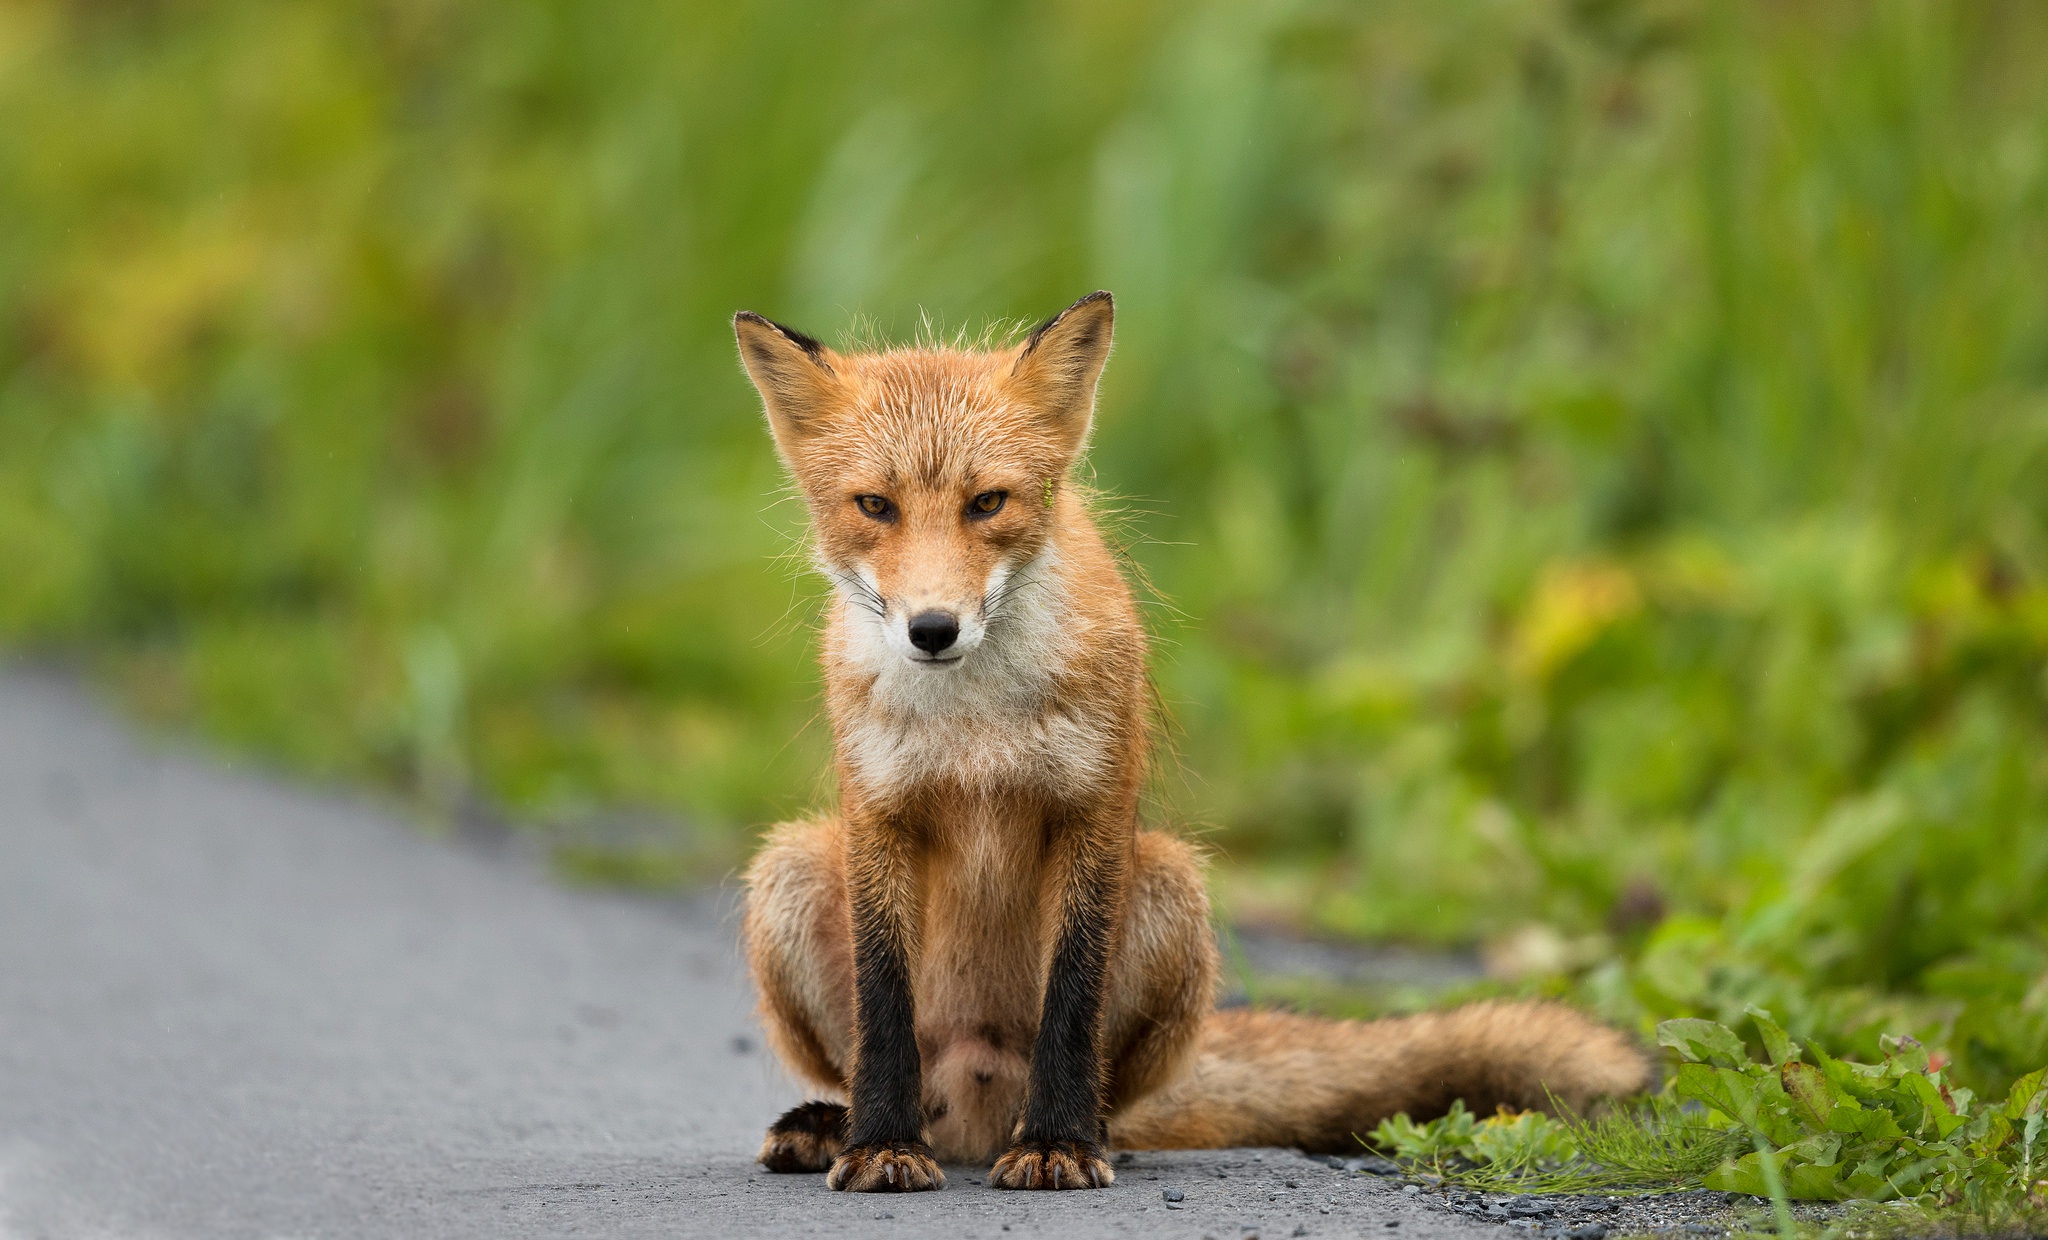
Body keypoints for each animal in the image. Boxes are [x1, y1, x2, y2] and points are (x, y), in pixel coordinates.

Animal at [729, 291, 1654, 1188]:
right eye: (874, 507)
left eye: (986, 502)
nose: (932, 629)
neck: (975, 725)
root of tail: (972, 1117)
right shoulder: (880, 814)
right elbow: (883, 1001)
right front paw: (882, 1145)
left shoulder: (1094, 809)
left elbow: (1073, 995)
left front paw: (1059, 1145)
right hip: (790, 869)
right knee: (870, 1061)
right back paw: (839, 1123)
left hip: (1173, 886)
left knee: (1110, 1093)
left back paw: (1078, 1130)